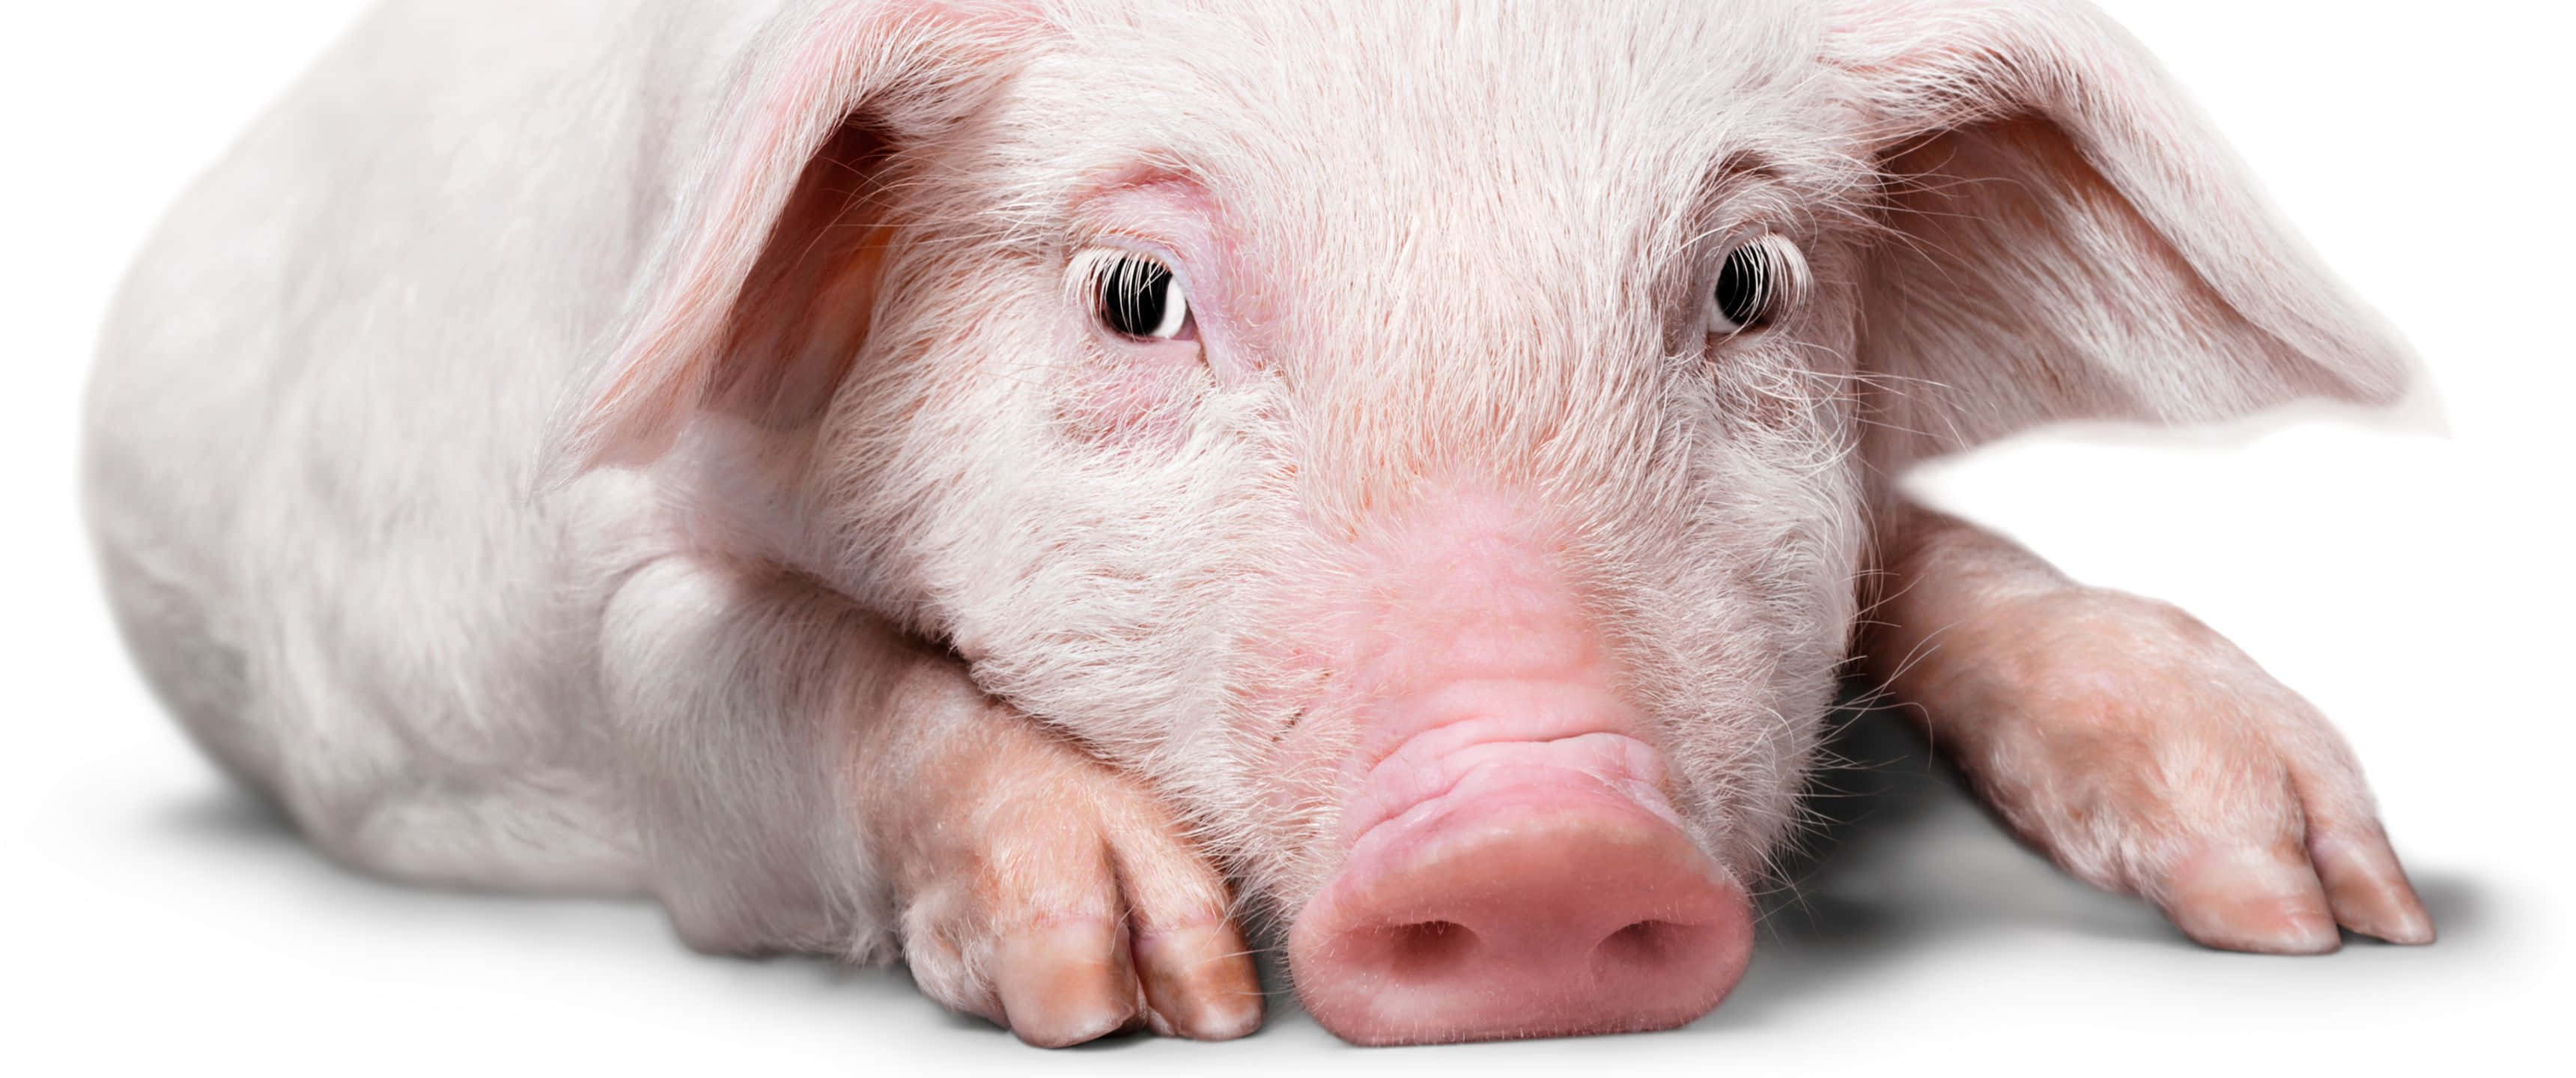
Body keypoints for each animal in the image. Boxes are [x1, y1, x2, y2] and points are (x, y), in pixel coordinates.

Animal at [82, 0, 2434, 1048]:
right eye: (1136, 291)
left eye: (1749, 282)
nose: (1550, 842)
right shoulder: (522, 664)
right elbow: (720, 672)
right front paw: (1138, 980)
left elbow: (1918, 551)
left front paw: (2329, 905)